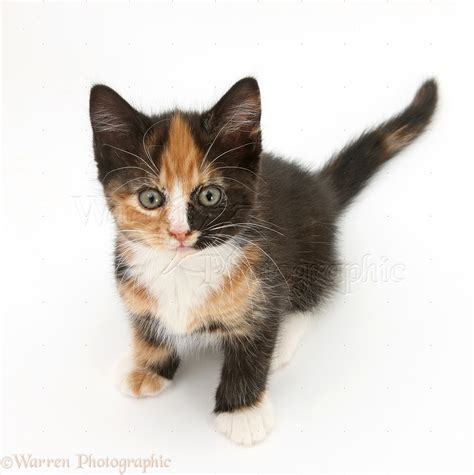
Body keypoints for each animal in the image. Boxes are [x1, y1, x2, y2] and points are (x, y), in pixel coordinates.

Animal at [89, 77, 436, 446]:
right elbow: (148, 327)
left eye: (210, 195)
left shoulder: (263, 280)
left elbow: (253, 349)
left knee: (311, 293)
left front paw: (242, 413)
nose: (180, 233)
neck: (184, 267)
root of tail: (320, 189)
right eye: (150, 198)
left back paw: (285, 337)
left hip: (315, 247)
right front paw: (144, 367)